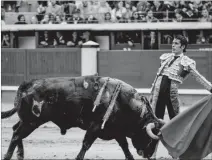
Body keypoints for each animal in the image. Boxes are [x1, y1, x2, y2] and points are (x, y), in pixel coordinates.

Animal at [0, 75, 165, 159]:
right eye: (150, 137)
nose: (149, 155)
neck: (121, 101)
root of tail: (28, 83)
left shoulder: (117, 130)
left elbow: (125, 147)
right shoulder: (95, 127)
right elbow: (86, 144)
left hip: (27, 120)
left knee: (15, 130)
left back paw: (20, 155)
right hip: (32, 121)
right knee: (16, 135)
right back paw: (8, 156)